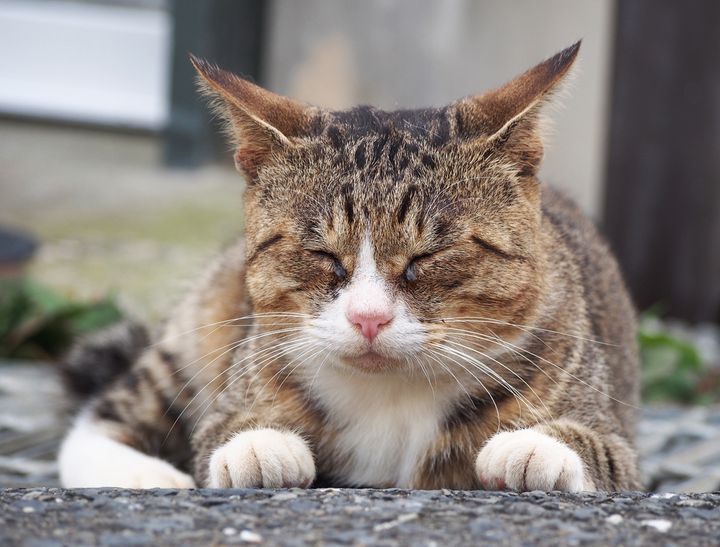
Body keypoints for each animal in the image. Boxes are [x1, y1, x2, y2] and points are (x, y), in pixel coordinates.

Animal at [56, 40, 640, 490]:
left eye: (428, 255)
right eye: (322, 254)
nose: (368, 318)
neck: (391, 397)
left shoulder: (618, 439)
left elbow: (603, 451)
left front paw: (536, 448)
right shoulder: (236, 383)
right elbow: (219, 431)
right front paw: (258, 445)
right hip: (203, 323)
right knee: (108, 411)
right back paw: (143, 474)